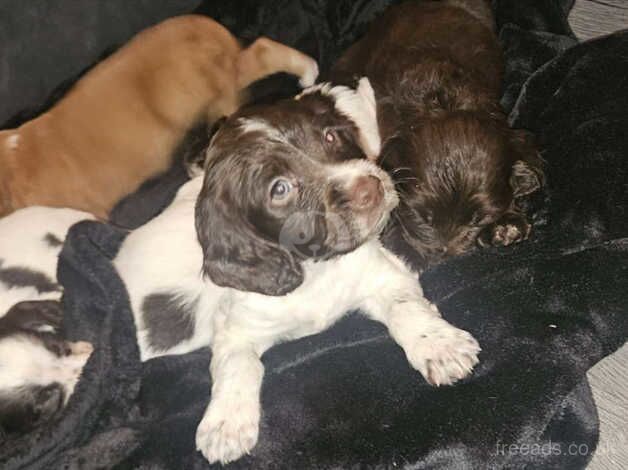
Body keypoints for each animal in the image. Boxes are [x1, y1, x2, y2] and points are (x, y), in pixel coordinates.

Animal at [115, 80, 478, 462]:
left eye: (331, 136)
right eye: (280, 189)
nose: (371, 188)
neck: (316, 270)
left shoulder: (383, 275)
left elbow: (405, 309)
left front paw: (439, 347)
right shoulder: (236, 329)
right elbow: (237, 364)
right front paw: (226, 423)